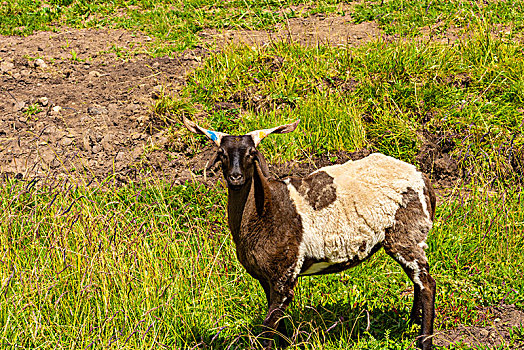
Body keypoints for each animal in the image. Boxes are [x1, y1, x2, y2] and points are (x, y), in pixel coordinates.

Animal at [182, 118, 436, 350]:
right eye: (222, 153)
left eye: (252, 153)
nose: (235, 177)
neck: (264, 210)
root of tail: (422, 178)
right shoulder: (266, 278)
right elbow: (279, 322)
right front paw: (285, 344)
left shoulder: (285, 274)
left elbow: (268, 325)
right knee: (418, 280)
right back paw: (412, 322)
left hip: (407, 233)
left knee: (427, 283)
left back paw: (424, 341)